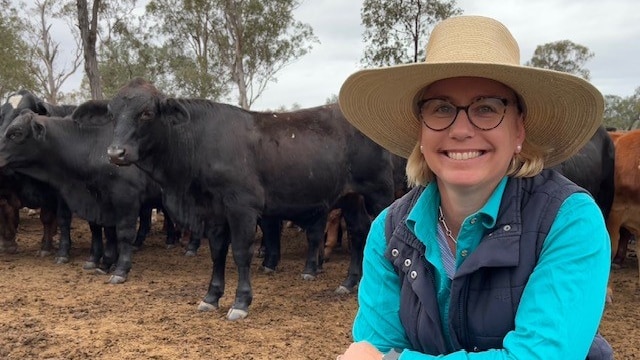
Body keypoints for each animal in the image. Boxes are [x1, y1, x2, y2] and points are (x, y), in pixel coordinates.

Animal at [0, 101, 168, 282]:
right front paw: (101, 262)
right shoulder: (98, 202)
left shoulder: (126, 199)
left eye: (16, 133)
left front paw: (120, 269)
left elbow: (124, 233)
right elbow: (101, 230)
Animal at [105, 79, 396, 320]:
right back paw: (349, 283)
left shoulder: (241, 206)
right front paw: (211, 297)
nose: (115, 152)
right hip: (351, 197)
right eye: (112, 113)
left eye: (146, 113)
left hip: (380, 192)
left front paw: (241, 302)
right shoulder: (214, 210)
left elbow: (241, 252)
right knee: (359, 231)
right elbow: (217, 252)